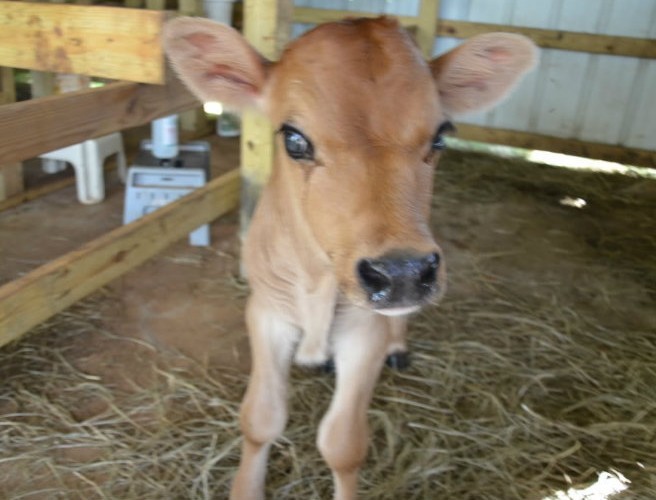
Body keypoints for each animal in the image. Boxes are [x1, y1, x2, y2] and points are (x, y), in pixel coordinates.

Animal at [164, 16, 537, 500]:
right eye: (294, 139)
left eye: (440, 136)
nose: (400, 272)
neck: (318, 282)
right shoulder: (265, 313)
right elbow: (260, 419)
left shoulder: (366, 330)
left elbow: (342, 444)